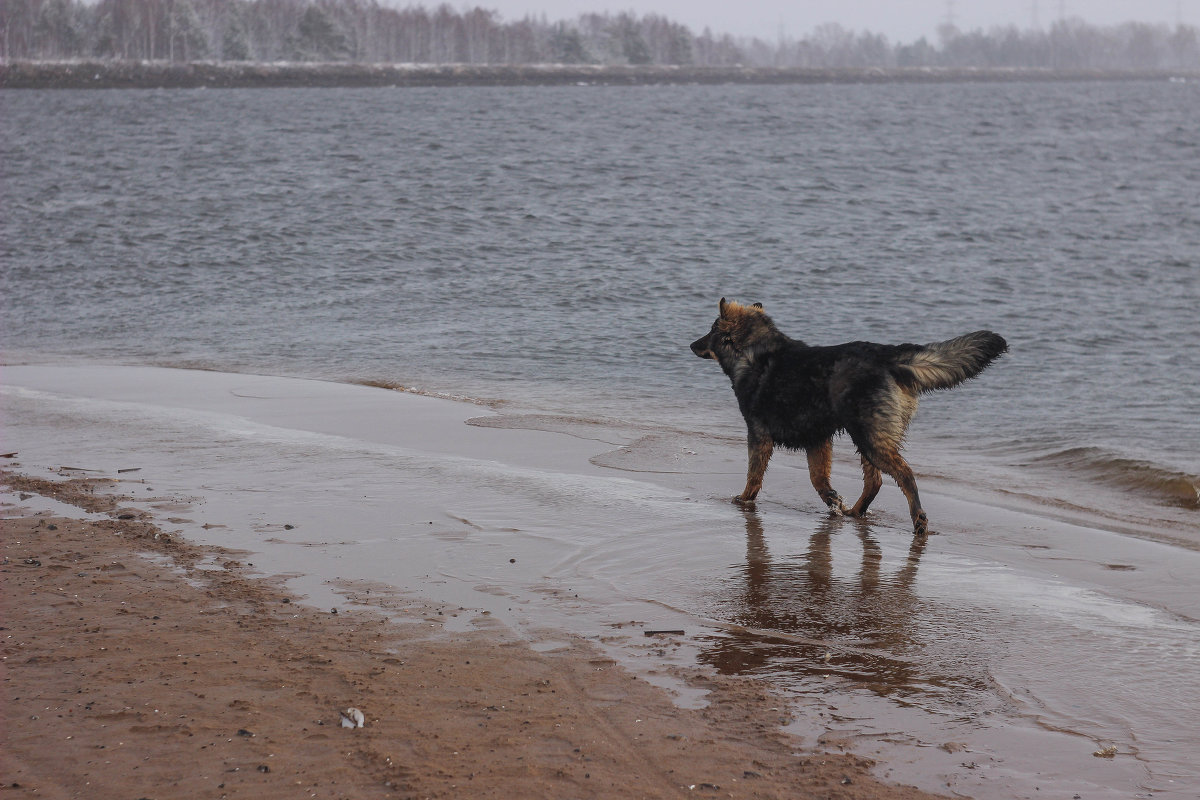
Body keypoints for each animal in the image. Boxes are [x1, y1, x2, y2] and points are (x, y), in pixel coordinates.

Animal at [691, 297, 1008, 534]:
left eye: (711, 330)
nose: (692, 345)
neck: (753, 351)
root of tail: (888, 355)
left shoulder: (758, 434)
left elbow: (754, 475)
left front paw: (744, 500)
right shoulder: (817, 439)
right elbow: (818, 479)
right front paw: (833, 501)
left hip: (869, 437)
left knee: (904, 474)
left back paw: (918, 520)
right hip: (869, 437)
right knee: (875, 481)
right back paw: (855, 512)